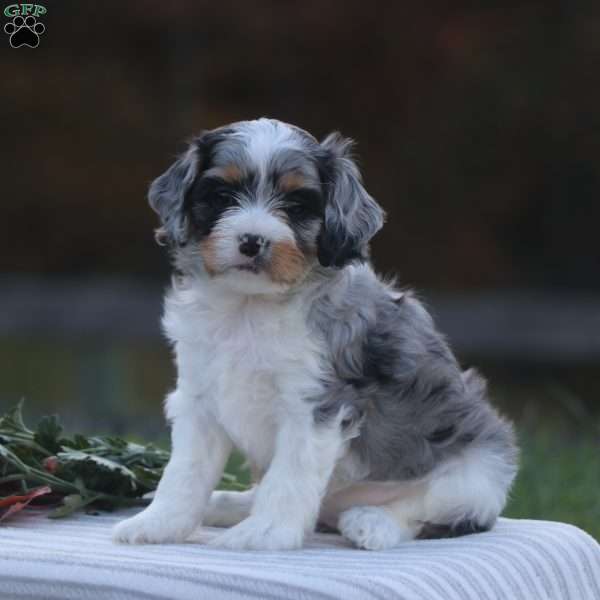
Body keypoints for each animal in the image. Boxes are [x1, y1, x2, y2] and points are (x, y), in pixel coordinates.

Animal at [112, 119, 516, 552]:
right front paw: (158, 524)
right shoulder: (198, 400)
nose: (252, 241)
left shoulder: (314, 406)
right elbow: (184, 472)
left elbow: (289, 476)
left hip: (479, 473)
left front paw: (264, 533)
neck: (249, 307)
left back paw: (371, 522)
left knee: (427, 512)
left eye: (296, 206)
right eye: (222, 196)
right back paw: (226, 505)